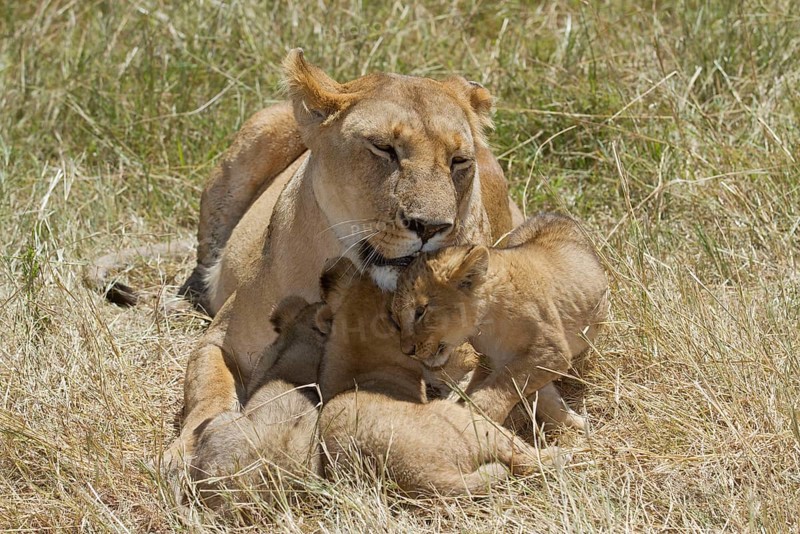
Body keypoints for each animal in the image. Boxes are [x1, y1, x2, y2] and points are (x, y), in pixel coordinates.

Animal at [160, 49, 524, 467]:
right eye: (383, 148)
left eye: (460, 160)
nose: (431, 227)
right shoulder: (218, 342)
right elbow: (209, 395)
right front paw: (184, 451)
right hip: (256, 138)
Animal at [391, 213, 609, 426]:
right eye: (397, 320)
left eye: (420, 311)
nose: (407, 351)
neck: (484, 326)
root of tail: (553, 213)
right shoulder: (498, 359)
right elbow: (544, 399)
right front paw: (576, 424)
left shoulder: (551, 351)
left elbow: (501, 386)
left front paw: (479, 419)